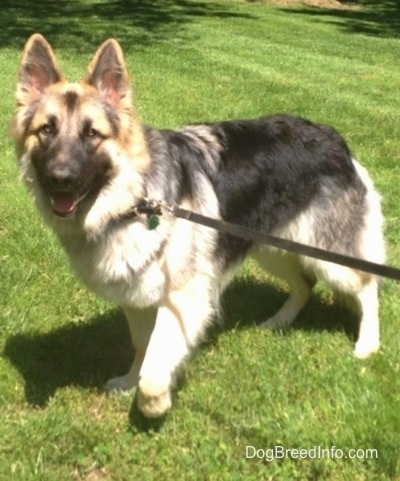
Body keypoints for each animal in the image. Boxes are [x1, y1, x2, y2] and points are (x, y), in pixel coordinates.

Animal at [11, 33, 384, 416]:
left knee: (367, 285)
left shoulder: (184, 298)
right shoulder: (138, 298)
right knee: (305, 284)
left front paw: (155, 402)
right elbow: (141, 347)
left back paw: (367, 343)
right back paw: (279, 322)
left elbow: (154, 367)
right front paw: (130, 381)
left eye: (91, 134)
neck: (134, 201)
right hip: (273, 247)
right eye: (47, 130)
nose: (60, 179)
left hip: (328, 256)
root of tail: (334, 138)